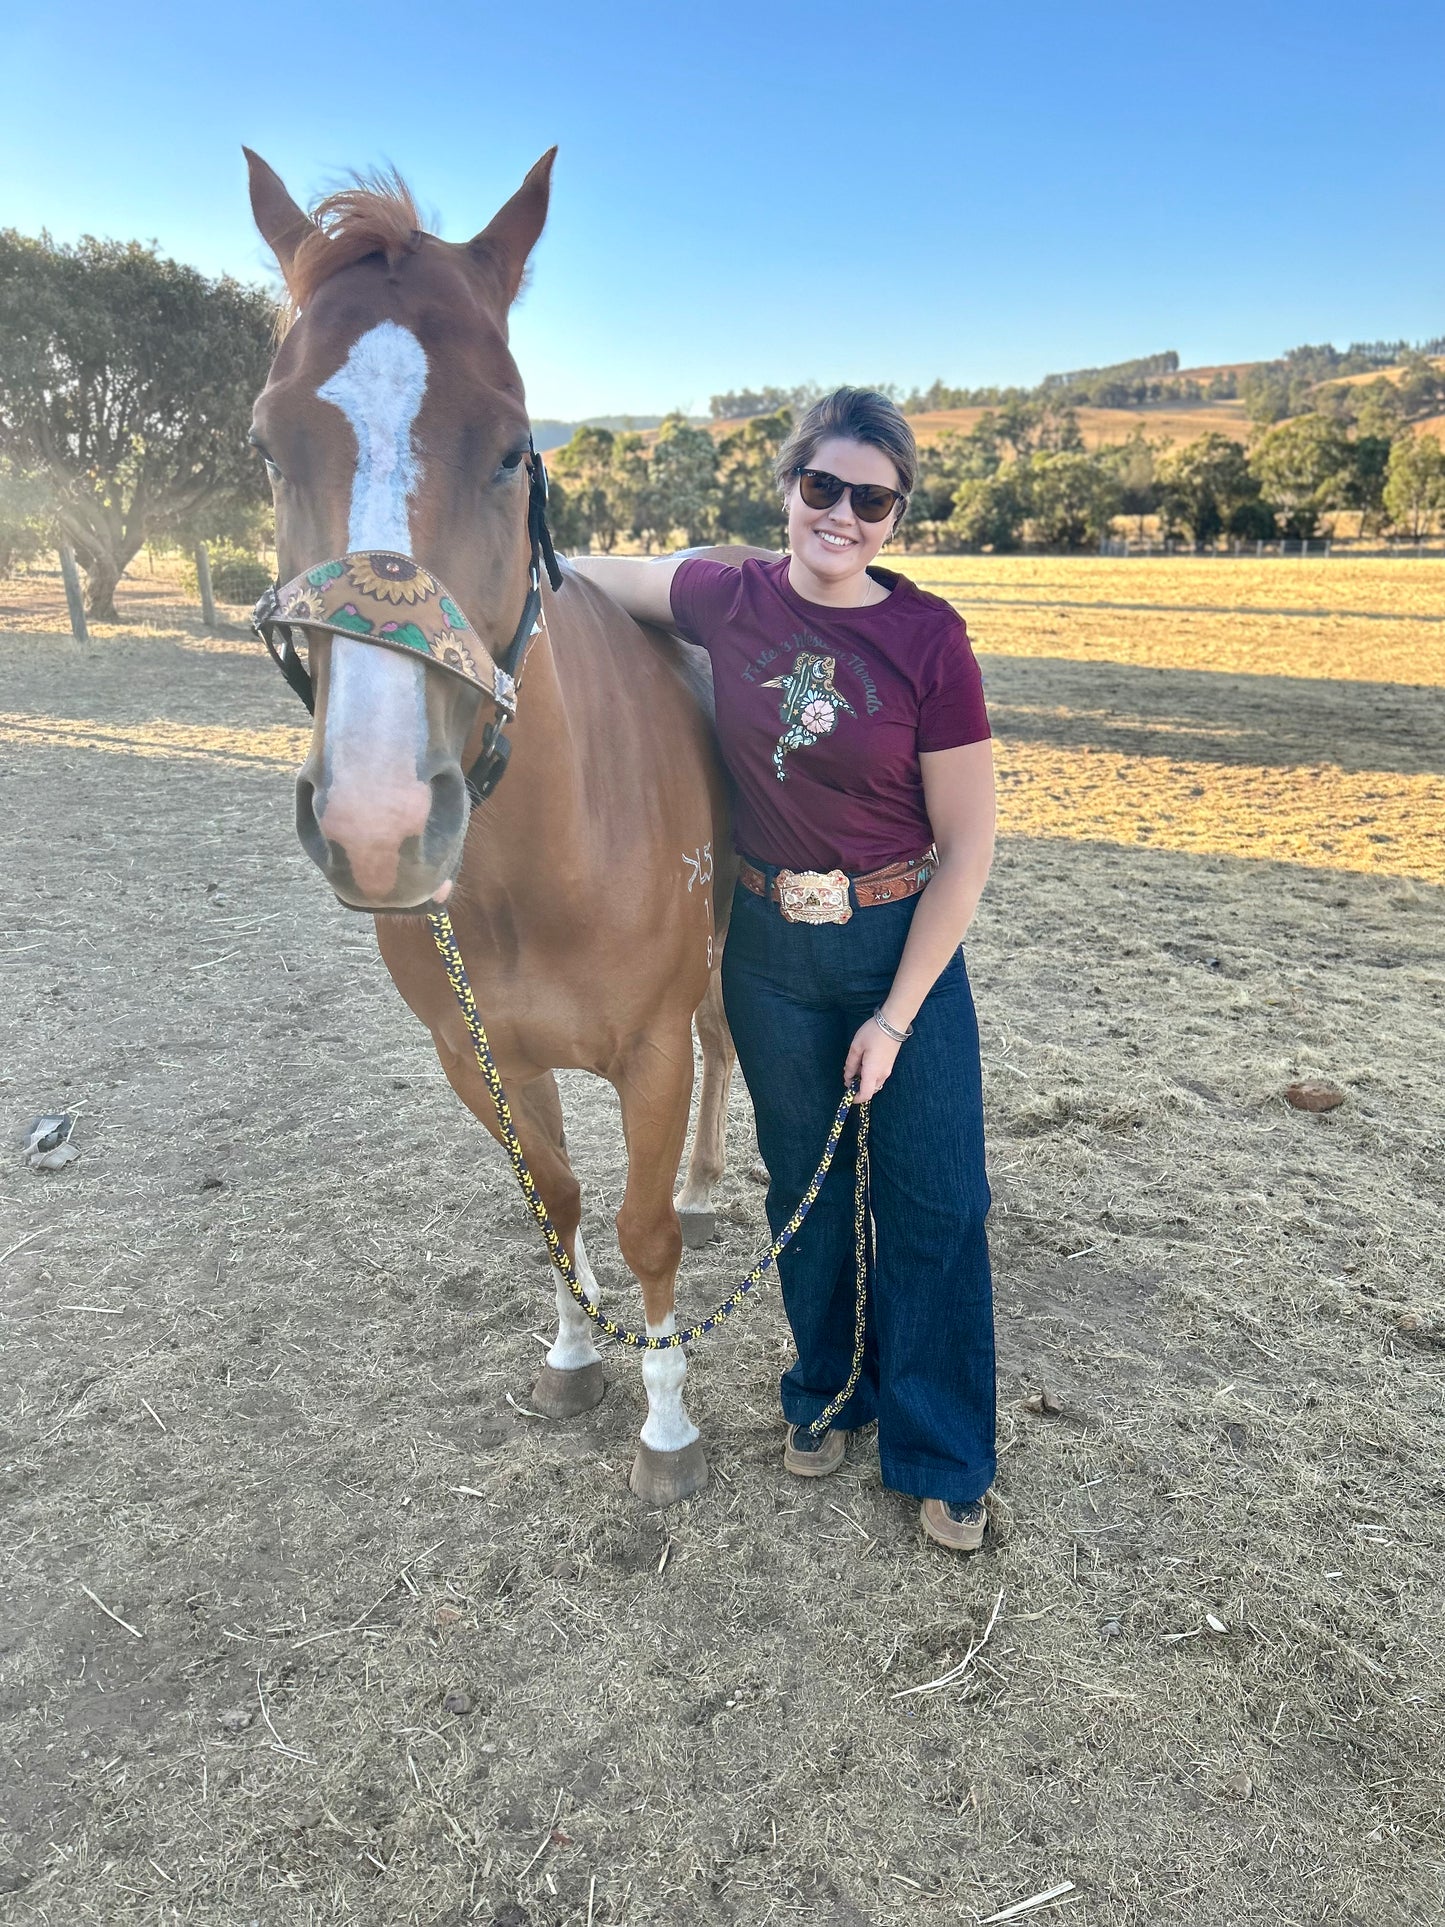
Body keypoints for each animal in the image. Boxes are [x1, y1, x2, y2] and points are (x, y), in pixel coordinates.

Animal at [243, 150, 747, 1503]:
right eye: (267, 445)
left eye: (516, 448)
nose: (377, 820)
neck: (536, 872)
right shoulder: (480, 1059)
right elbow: (556, 1204)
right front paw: (575, 1356)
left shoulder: (649, 1051)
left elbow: (641, 1228)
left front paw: (665, 1421)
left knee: (728, 1049)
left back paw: (712, 1179)